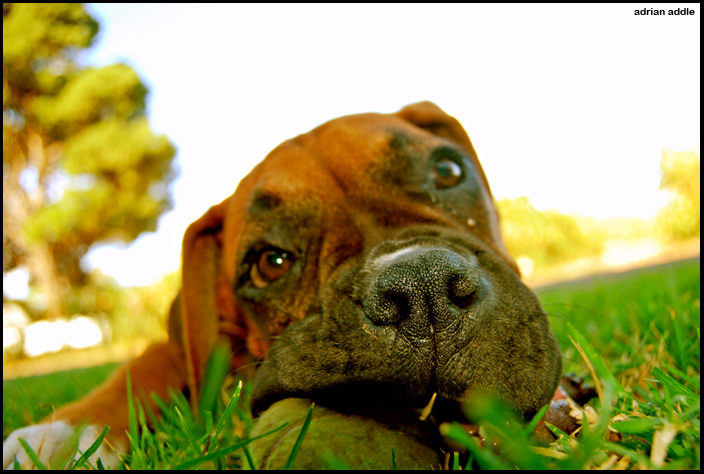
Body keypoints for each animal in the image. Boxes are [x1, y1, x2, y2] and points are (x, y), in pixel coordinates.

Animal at [1, 102, 560, 468]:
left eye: (447, 170)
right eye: (269, 263)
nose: (422, 289)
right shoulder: (174, 350)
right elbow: (140, 367)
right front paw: (60, 436)